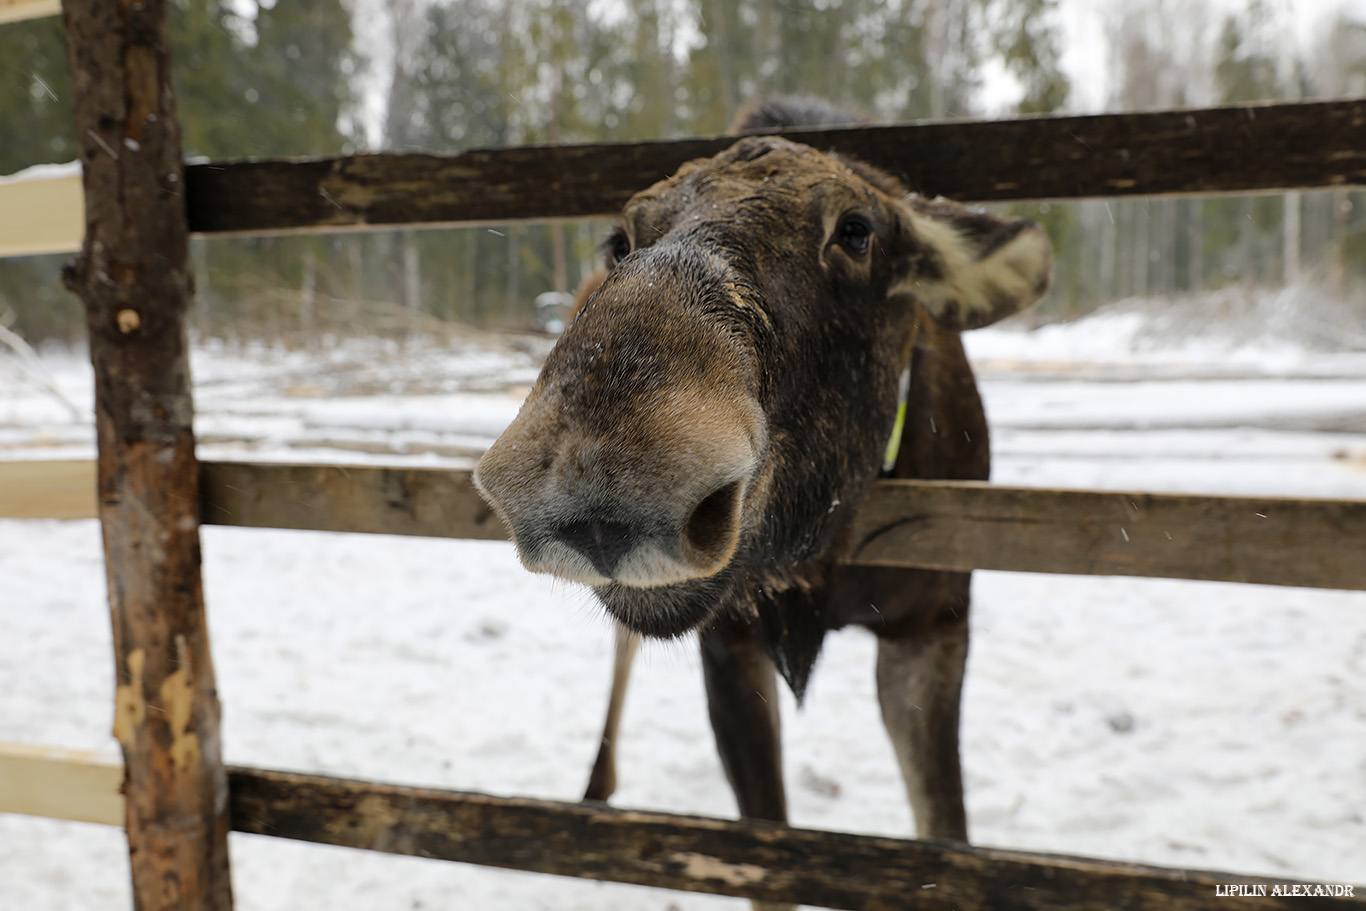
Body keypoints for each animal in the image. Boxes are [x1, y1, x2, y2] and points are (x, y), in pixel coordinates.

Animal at [475, 96, 1049, 846]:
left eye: (857, 231)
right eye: (621, 240)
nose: (603, 474)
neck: (819, 550)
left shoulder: (933, 622)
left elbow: (945, 827)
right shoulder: (729, 640)